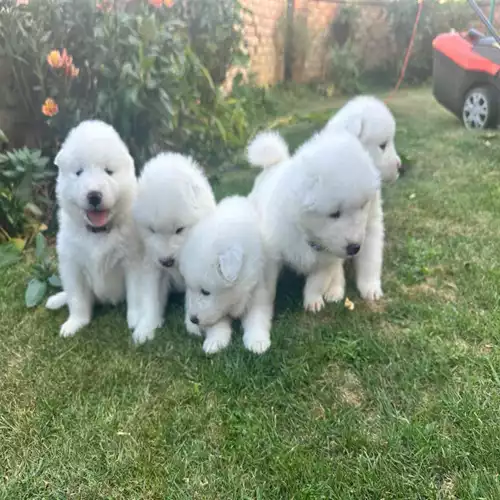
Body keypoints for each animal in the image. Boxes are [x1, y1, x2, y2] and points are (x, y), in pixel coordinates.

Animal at [45, 119, 138, 336]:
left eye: (108, 171)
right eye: (79, 172)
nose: (94, 195)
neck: (98, 232)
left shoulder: (132, 262)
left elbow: (136, 296)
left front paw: (136, 321)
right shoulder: (73, 265)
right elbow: (77, 298)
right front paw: (75, 323)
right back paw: (56, 299)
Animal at [129, 153, 217, 344]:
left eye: (180, 229)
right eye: (151, 230)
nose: (167, 261)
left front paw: (193, 327)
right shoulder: (152, 266)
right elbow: (151, 298)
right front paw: (145, 329)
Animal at [179, 195, 274, 356]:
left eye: (205, 291)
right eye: (191, 288)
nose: (193, 319)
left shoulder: (257, 290)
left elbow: (257, 317)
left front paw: (257, 342)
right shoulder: (215, 309)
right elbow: (216, 323)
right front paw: (215, 341)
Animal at [248, 130, 380, 312]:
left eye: (363, 206)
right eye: (334, 213)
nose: (355, 247)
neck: (308, 235)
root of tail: (274, 163)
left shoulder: (326, 261)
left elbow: (317, 282)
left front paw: (313, 300)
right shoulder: (272, 256)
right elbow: (267, 288)